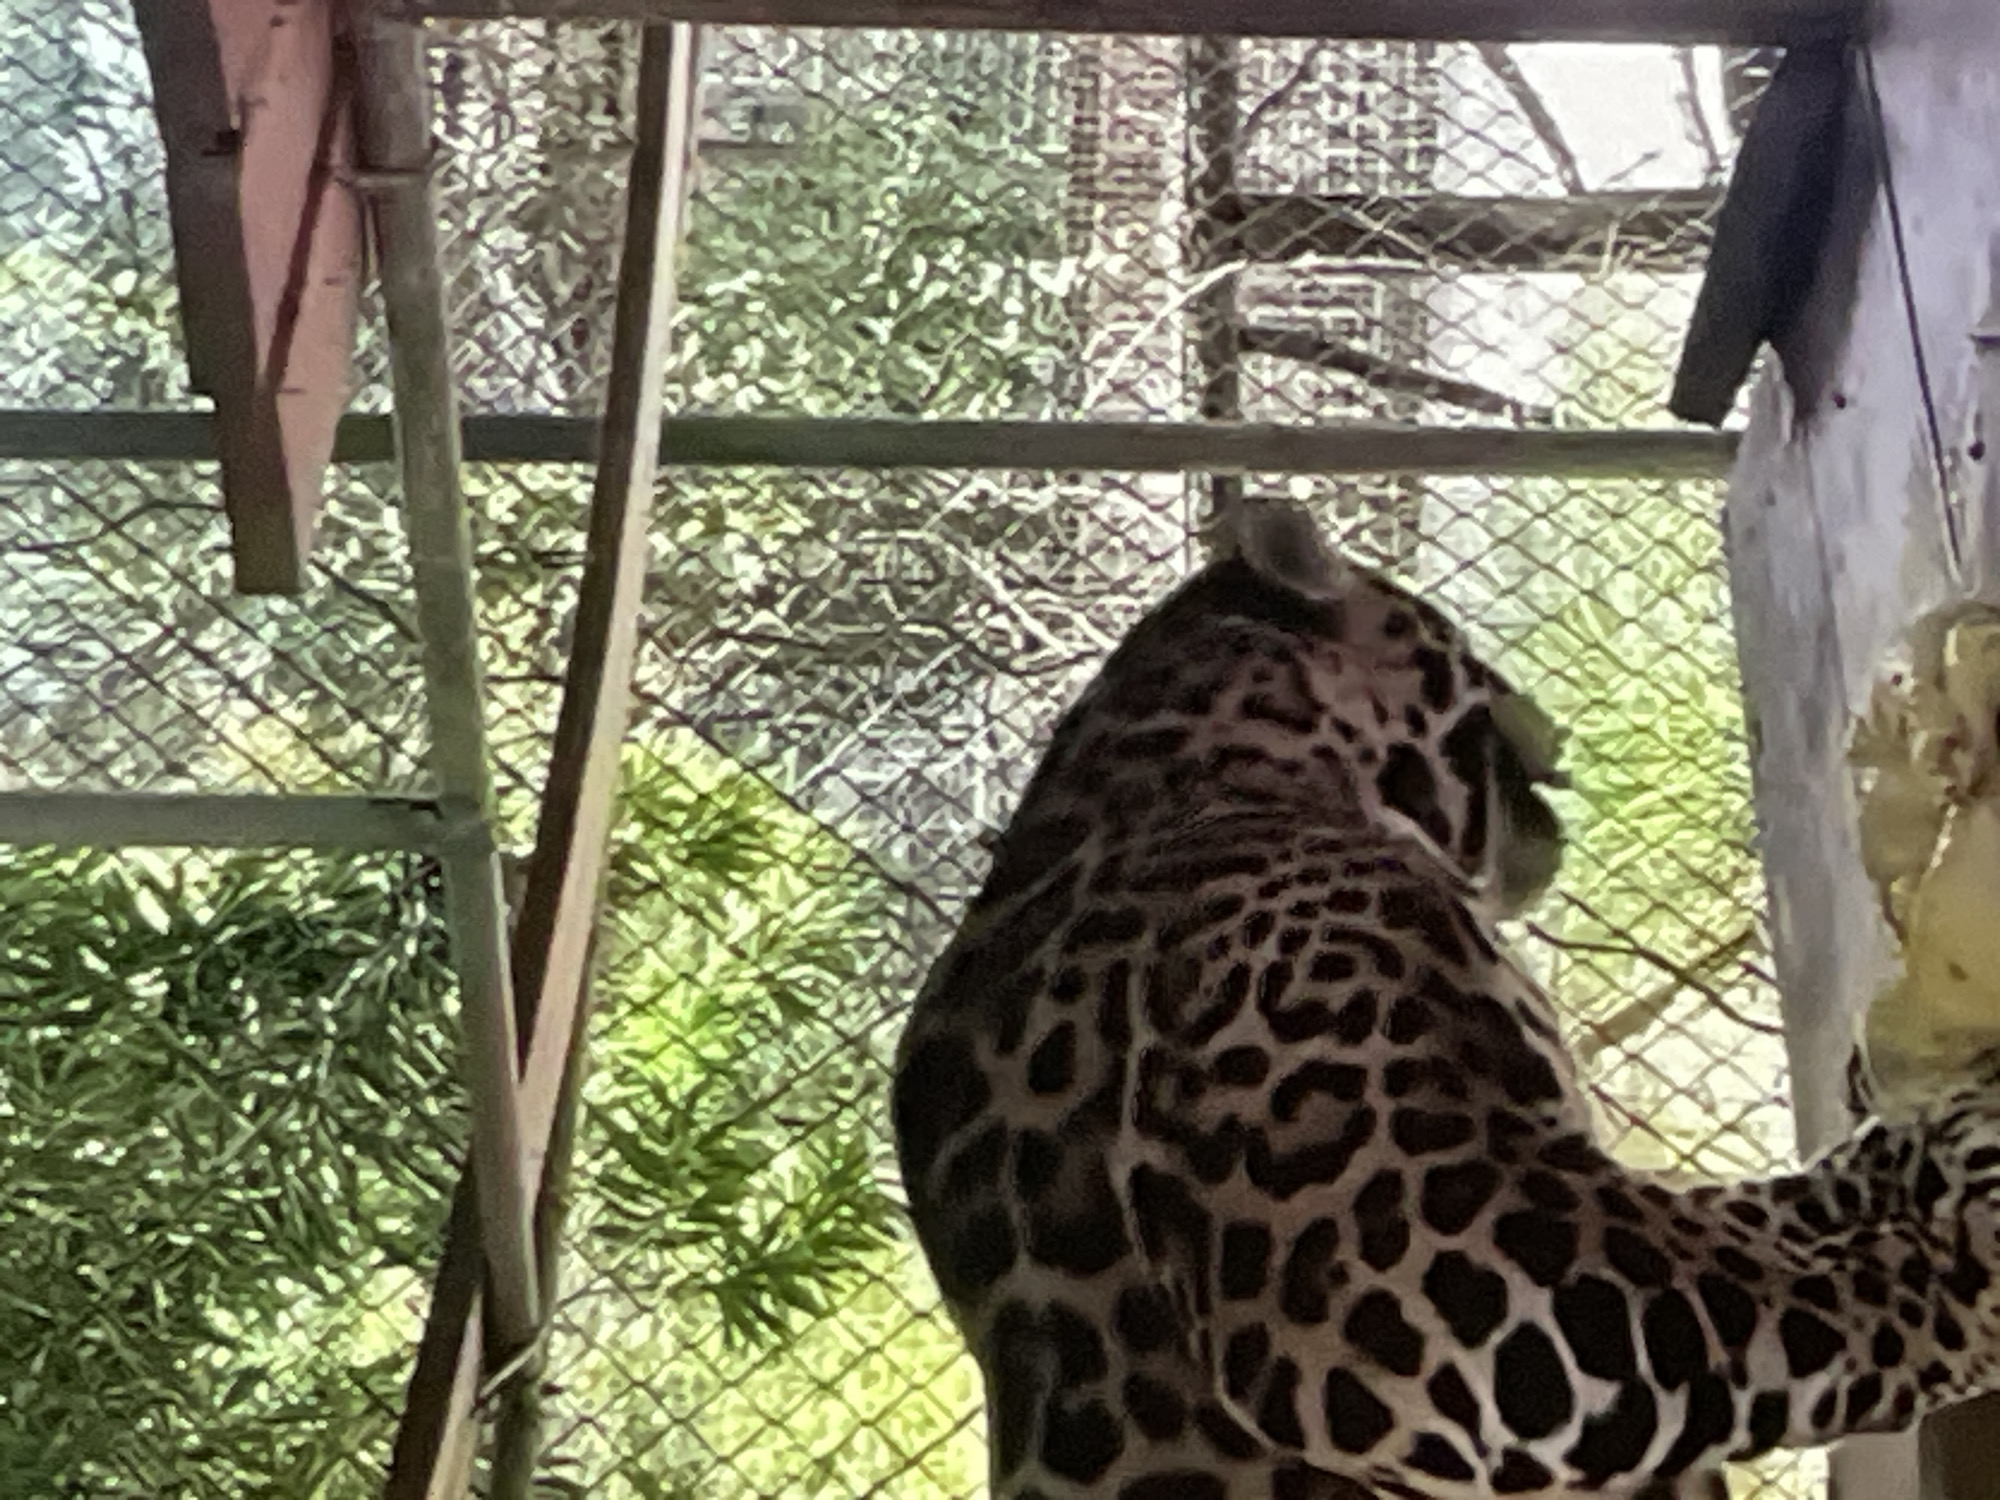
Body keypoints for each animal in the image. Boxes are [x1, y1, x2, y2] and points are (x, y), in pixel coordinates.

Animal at [891, 496, 2000, 1499]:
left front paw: (1930, 1140)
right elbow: (1792, 1289)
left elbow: (1756, 1217)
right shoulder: (1432, 1248)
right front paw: (1972, 1273)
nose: (1549, 712)